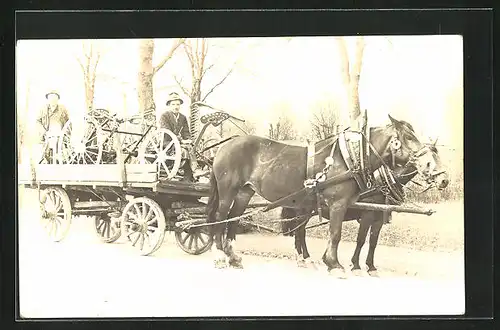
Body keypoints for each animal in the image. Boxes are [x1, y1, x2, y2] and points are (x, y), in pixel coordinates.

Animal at [282, 144, 450, 276]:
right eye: (428, 162)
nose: (445, 181)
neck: (382, 181)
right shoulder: (368, 214)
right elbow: (361, 240)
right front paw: (355, 265)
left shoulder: (379, 218)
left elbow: (373, 242)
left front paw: (371, 267)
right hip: (303, 211)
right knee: (300, 232)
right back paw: (303, 259)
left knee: (300, 231)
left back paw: (304, 258)